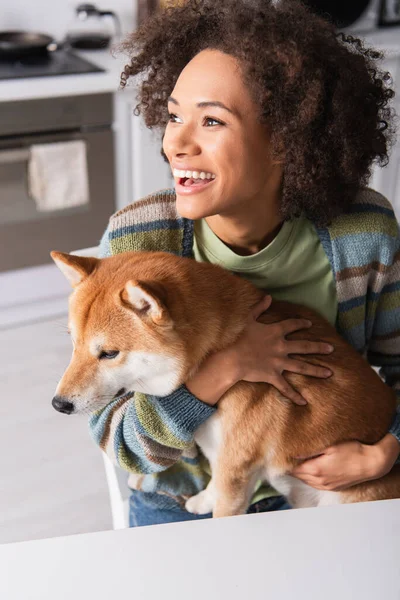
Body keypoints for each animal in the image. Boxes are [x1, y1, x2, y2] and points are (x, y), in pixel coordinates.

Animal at [50, 248, 400, 516]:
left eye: (109, 353)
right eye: (74, 343)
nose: (58, 404)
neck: (221, 345)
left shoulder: (235, 466)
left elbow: (224, 505)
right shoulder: (223, 459)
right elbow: (214, 483)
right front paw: (204, 498)